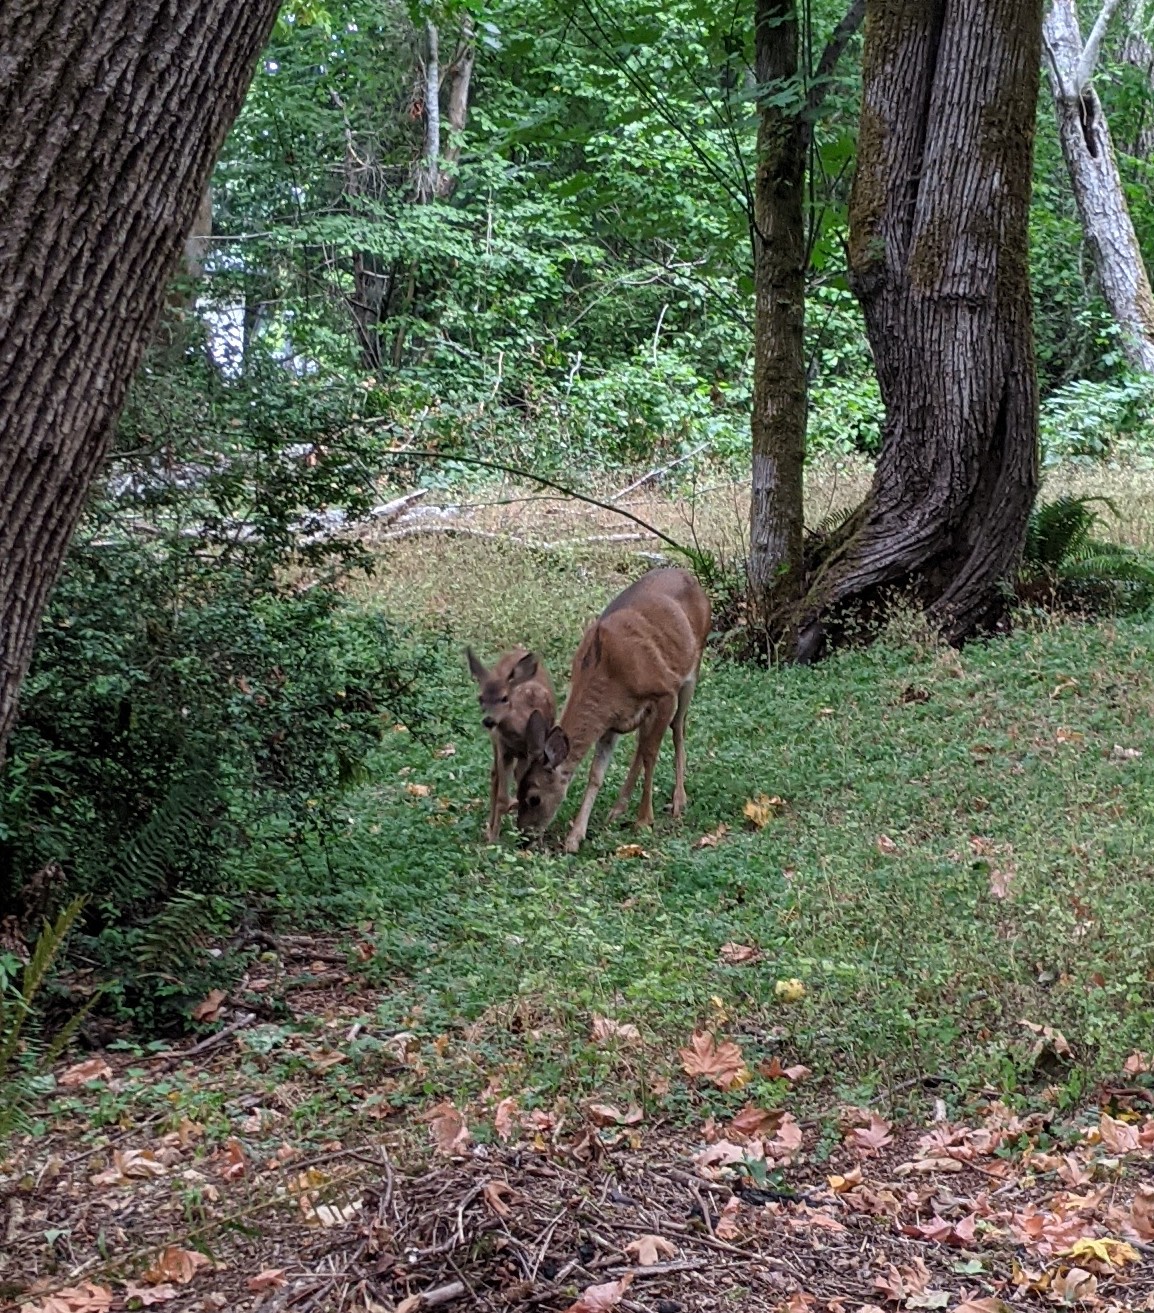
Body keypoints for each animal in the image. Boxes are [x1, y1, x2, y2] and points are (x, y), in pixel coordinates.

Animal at [466, 646, 556, 843]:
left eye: (505, 698)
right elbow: (501, 798)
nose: (489, 720)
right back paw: (490, 826)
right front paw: (493, 839)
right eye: (480, 698)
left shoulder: (529, 752)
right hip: (496, 744)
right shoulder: (503, 748)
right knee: (494, 774)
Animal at [516, 567, 710, 854]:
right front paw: (575, 837)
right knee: (642, 743)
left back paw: (678, 800)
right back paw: (617, 809)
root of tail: (688, 575)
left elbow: (651, 755)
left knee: (678, 729)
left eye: (534, 798)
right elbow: (596, 774)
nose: (523, 837)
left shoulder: (664, 691)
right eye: (516, 790)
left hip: (692, 668)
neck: (608, 673)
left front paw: (644, 820)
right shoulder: (609, 721)